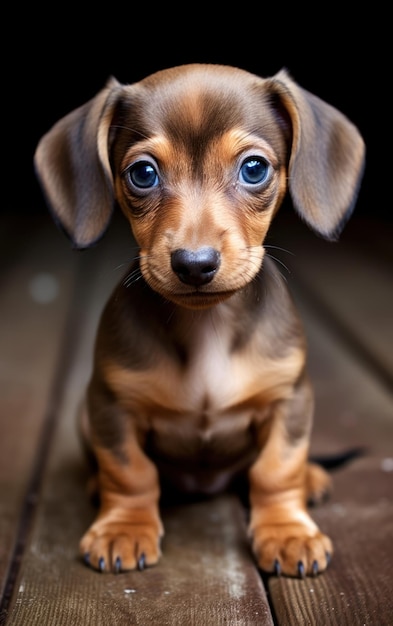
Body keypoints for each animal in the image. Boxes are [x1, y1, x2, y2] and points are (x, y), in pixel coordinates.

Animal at [34, 63, 364, 576]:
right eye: (143, 174)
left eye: (254, 168)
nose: (194, 264)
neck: (207, 325)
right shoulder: (111, 404)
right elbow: (129, 471)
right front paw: (123, 527)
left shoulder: (289, 398)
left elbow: (277, 469)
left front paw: (287, 532)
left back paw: (311, 479)